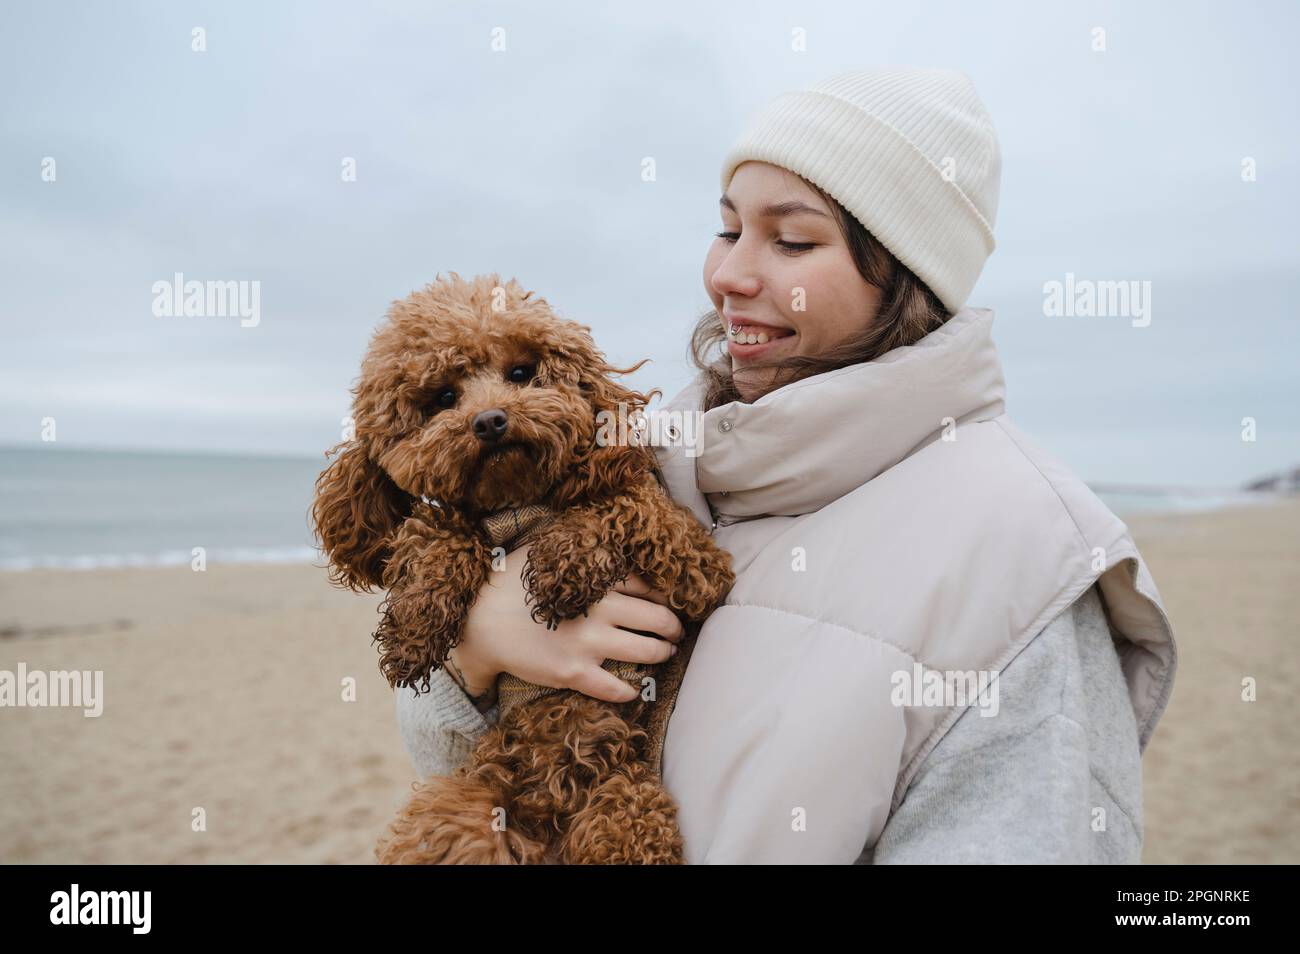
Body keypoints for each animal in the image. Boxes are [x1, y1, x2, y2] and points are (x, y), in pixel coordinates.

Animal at [305, 270, 733, 868]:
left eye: (521, 373)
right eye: (443, 397)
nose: (490, 420)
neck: (519, 504)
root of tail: (547, 819)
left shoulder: (697, 566)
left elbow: (621, 504)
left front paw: (566, 562)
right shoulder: (461, 521)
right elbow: (437, 532)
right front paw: (415, 625)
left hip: (624, 809)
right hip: (461, 810)